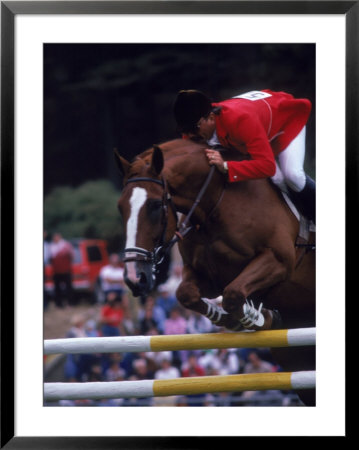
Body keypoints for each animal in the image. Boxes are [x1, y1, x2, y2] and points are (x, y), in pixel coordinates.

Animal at [115, 139, 316, 406]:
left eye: (156, 205)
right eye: (121, 208)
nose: (135, 277)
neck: (215, 204)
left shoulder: (278, 260)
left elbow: (233, 293)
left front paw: (257, 317)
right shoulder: (206, 276)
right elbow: (187, 294)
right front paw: (229, 318)